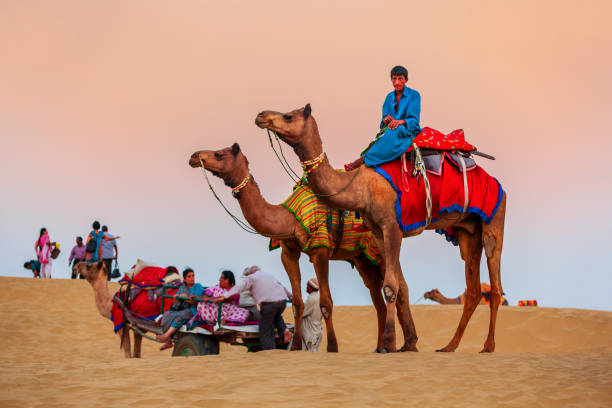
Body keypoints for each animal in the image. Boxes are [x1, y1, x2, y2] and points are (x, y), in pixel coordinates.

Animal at [188, 143, 416, 350]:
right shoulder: (288, 252)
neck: (288, 219)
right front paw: (296, 346)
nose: (194, 156)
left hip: (380, 246)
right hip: (361, 258)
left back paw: (405, 345)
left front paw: (332, 347)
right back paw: (382, 347)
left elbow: (325, 302)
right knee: (378, 299)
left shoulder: (320, 249)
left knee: (399, 286)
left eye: (219, 153)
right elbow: (297, 303)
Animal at [253, 103, 506, 352]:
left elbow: (391, 287)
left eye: (288, 116)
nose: (261, 115)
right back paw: (449, 346)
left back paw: (488, 346)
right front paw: (400, 344)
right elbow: (397, 286)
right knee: (473, 288)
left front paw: (389, 344)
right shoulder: (377, 232)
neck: (361, 186)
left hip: (493, 218)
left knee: (494, 282)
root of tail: (494, 181)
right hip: (467, 231)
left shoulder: (392, 227)